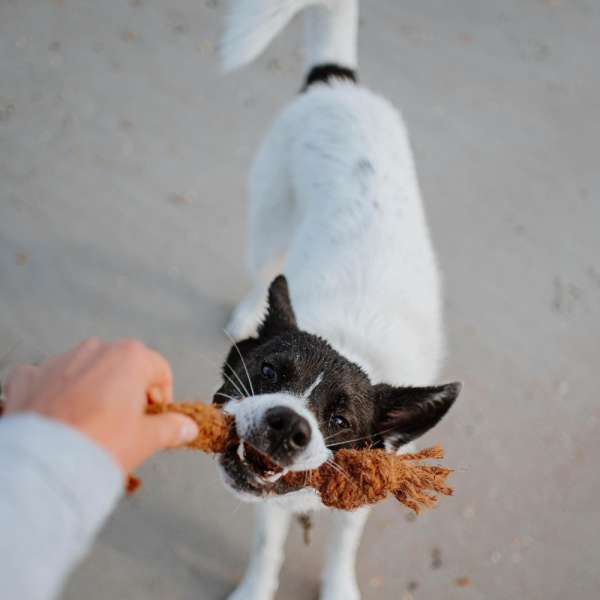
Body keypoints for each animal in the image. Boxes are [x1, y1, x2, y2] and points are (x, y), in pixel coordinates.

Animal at [213, 2, 462, 596]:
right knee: (267, 264)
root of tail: (337, 82)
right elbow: (267, 543)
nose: (287, 425)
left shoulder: (369, 487)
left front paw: (339, 587)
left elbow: (341, 547)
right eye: (270, 371)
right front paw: (256, 587)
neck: (351, 341)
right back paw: (246, 308)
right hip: (269, 216)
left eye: (343, 420)